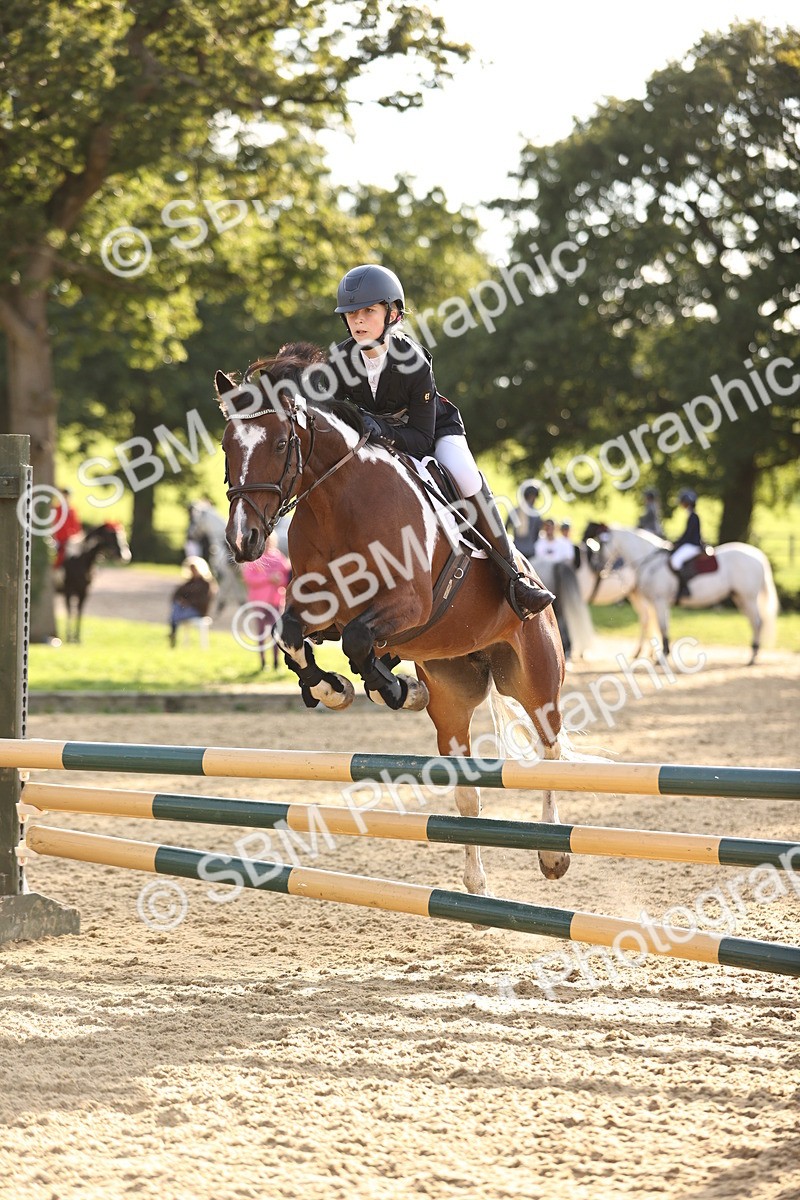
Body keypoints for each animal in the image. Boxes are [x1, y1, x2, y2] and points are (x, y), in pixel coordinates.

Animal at [216, 344, 569, 897]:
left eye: (280, 442)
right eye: (227, 446)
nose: (243, 540)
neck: (337, 502)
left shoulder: (410, 604)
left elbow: (360, 639)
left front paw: (386, 686)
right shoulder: (322, 611)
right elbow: (294, 635)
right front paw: (335, 688)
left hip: (535, 674)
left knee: (551, 750)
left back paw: (552, 855)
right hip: (454, 695)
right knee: (467, 790)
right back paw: (476, 882)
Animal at [584, 523, 779, 665]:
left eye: (601, 543)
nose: (596, 567)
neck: (649, 560)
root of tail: (758, 555)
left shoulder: (659, 600)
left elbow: (662, 627)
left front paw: (662, 656)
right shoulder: (658, 602)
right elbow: (662, 626)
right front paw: (662, 654)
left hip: (748, 598)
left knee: (757, 622)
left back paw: (753, 656)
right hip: (740, 598)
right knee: (754, 623)